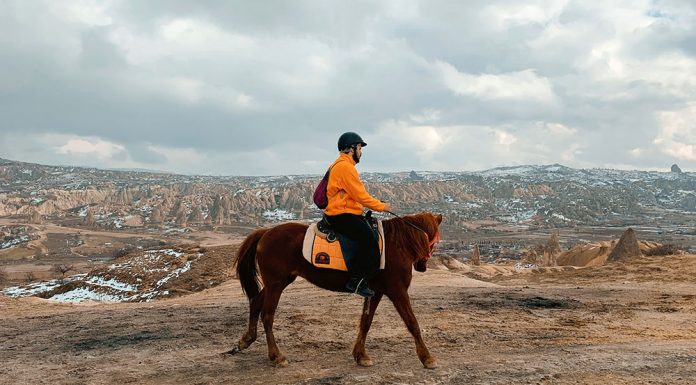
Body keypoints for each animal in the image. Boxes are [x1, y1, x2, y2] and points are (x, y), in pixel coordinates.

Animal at [231, 212, 444, 368]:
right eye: (435, 240)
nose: (422, 266)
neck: (396, 244)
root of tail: (265, 232)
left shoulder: (375, 291)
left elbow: (366, 322)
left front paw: (360, 355)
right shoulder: (397, 290)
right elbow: (412, 322)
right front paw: (427, 358)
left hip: (277, 282)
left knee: (255, 302)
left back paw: (246, 339)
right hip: (276, 283)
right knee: (267, 316)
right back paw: (277, 356)